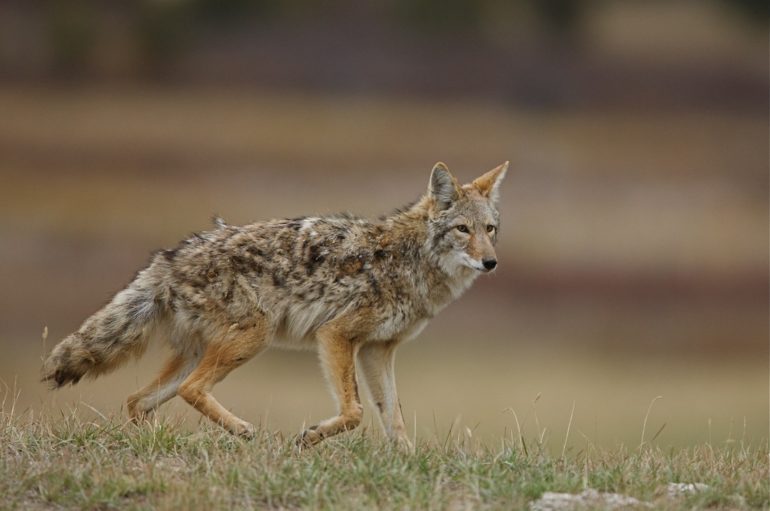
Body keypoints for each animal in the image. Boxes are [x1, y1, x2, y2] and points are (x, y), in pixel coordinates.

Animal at [41, 161, 508, 448]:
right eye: (463, 230)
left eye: (489, 229)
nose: (491, 263)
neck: (412, 259)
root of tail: (170, 257)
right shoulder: (336, 336)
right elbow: (355, 412)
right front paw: (310, 437)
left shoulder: (378, 350)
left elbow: (393, 419)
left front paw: (406, 465)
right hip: (252, 339)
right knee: (190, 390)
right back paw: (243, 431)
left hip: (201, 353)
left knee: (138, 400)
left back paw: (153, 444)